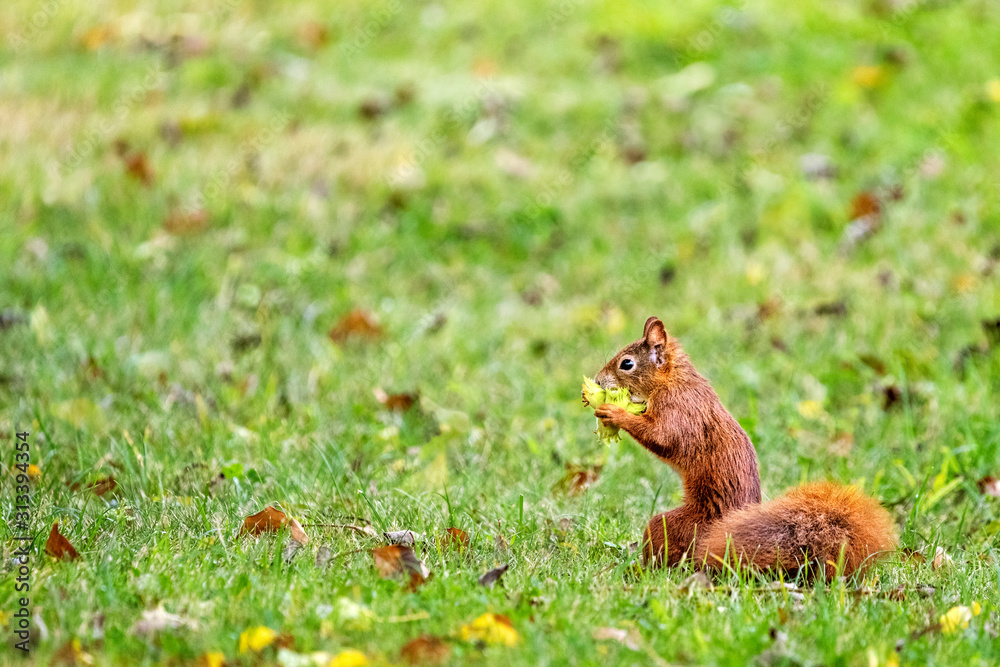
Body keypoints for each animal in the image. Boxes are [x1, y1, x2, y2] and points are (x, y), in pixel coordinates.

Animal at [586, 316, 897, 579]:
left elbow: (663, 438)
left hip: (677, 529)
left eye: (627, 364)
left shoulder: (680, 409)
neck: (673, 379)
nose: (598, 381)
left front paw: (613, 412)